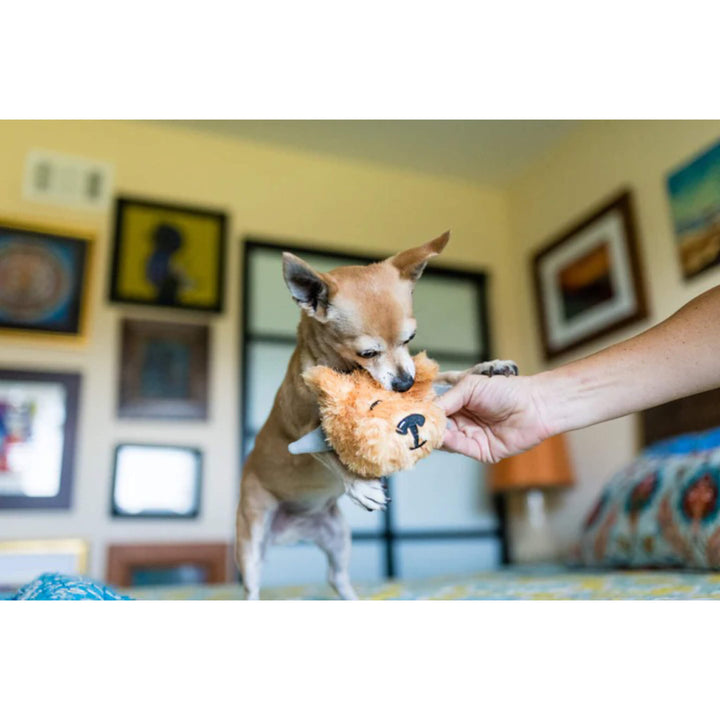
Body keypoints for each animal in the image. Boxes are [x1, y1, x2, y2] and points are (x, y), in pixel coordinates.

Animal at [235, 232, 517, 599]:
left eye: (410, 339)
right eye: (367, 352)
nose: (405, 383)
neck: (347, 371)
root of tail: (294, 531)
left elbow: (450, 376)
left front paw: (486, 368)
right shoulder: (304, 430)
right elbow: (331, 451)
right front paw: (361, 485)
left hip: (337, 535)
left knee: (336, 577)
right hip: (252, 535)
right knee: (252, 586)